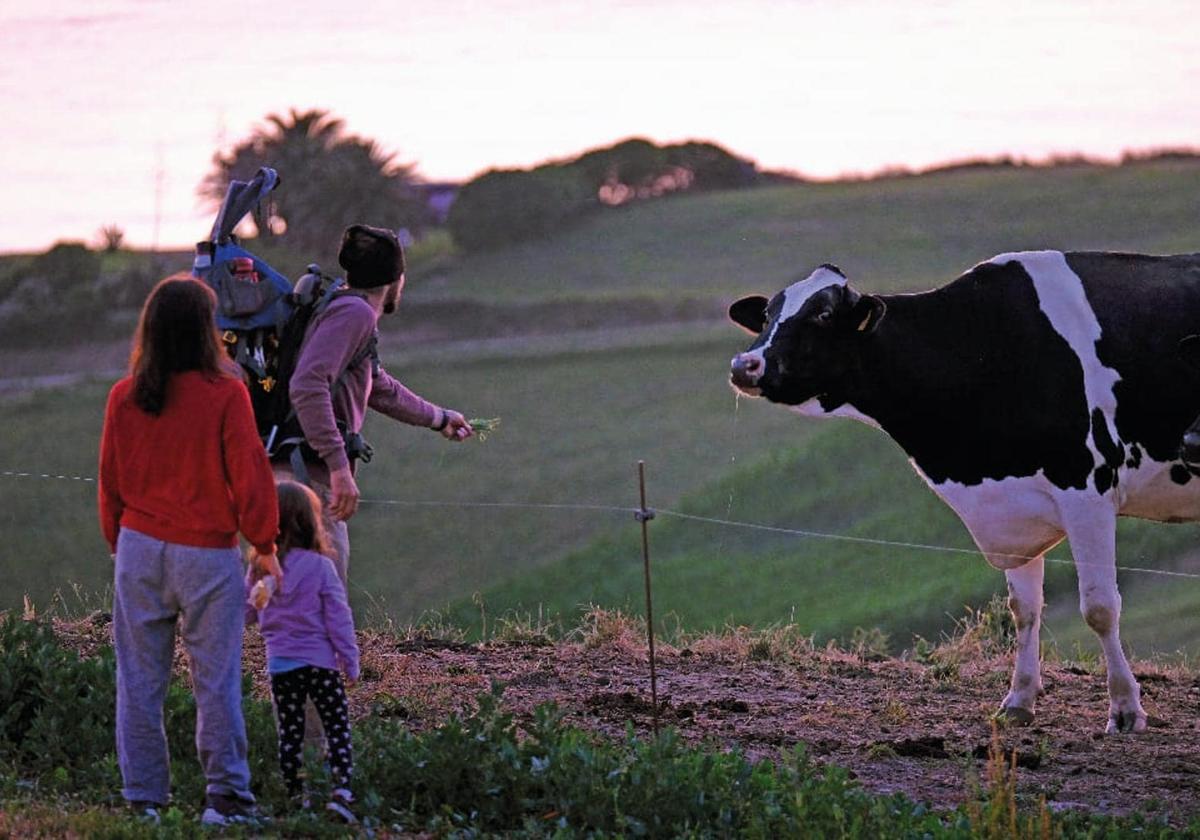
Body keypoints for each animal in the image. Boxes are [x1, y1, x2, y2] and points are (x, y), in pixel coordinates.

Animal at [724, 253, 1200, 729]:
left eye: (822, 314)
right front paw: (1018, 700)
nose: (744, 364)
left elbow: (1100, 607)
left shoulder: (1088, 488)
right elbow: (1024, 609)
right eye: (767, 314)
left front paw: (1125, 709)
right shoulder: (1012, 510)